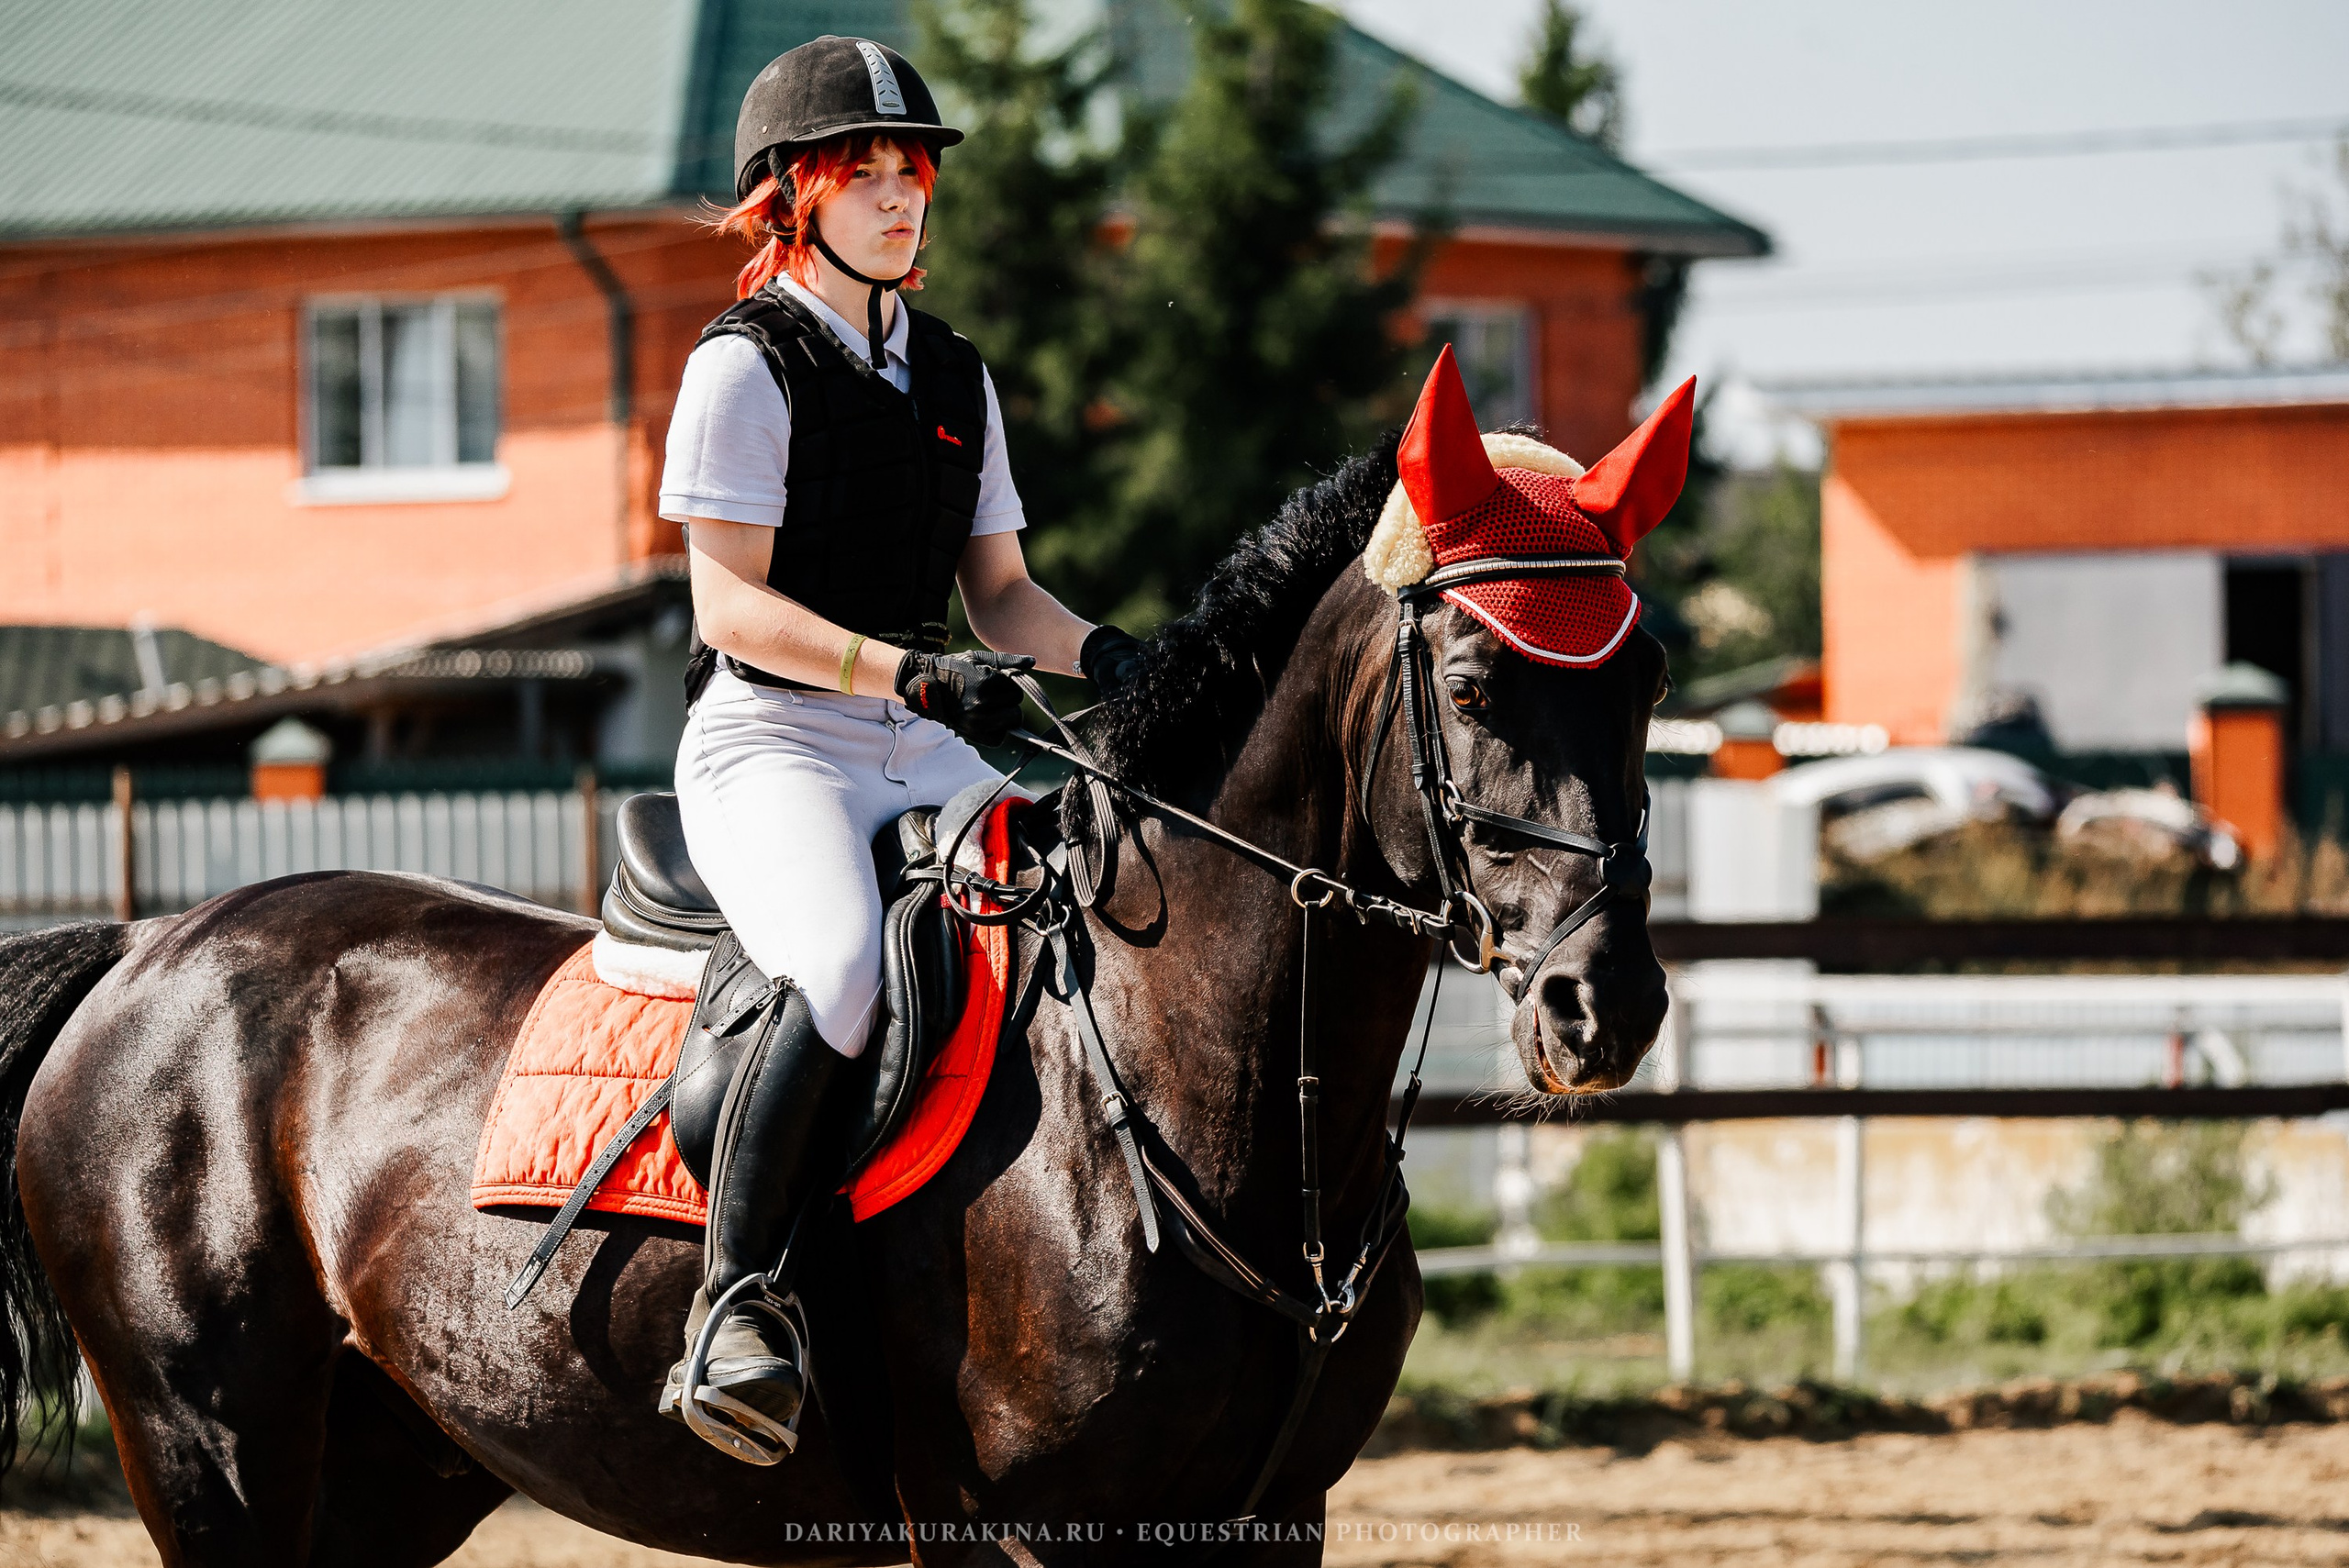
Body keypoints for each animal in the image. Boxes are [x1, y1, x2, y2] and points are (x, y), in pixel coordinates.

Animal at [0, 436, 1667, 1565]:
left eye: (1646, 678)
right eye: (1472, 687)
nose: (1607, 1002)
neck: (1180, 1086)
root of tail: (147, 947)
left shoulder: (1272, 1519)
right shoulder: (1019, 1530)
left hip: (390, 1457)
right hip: (212, 1447)